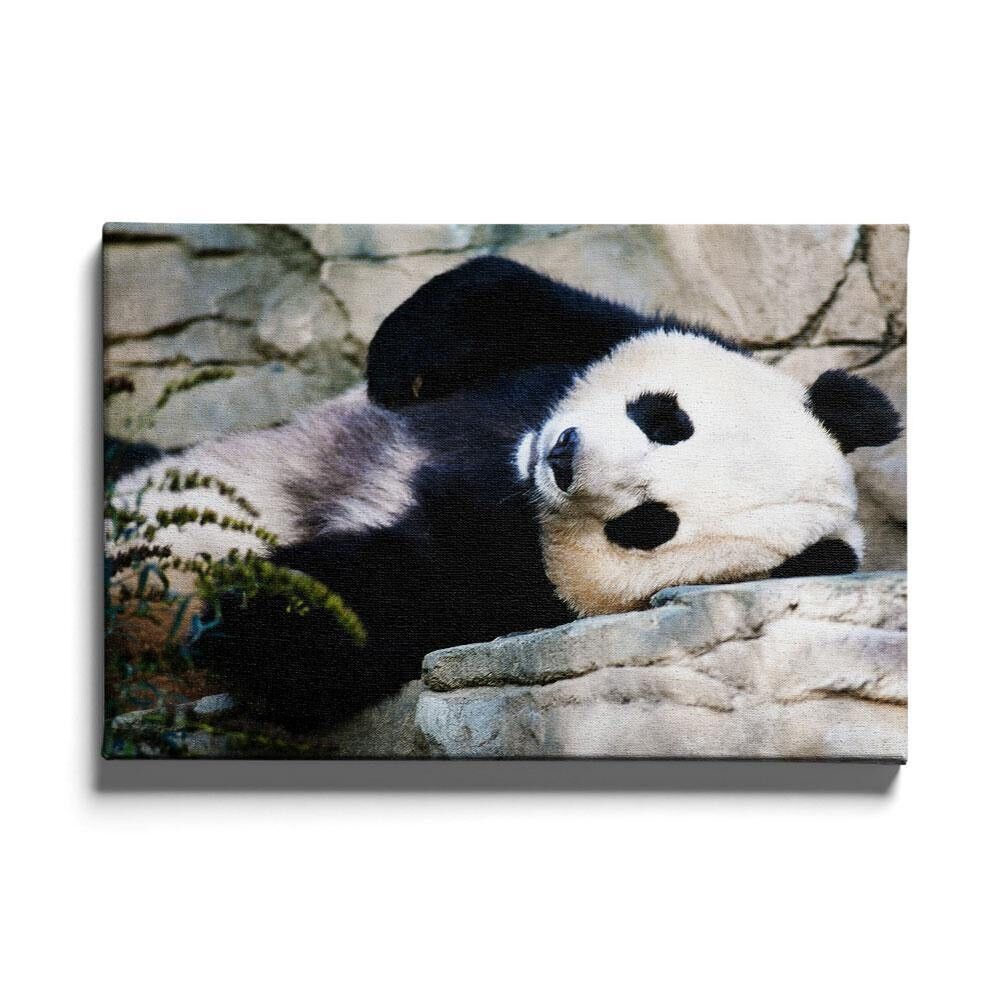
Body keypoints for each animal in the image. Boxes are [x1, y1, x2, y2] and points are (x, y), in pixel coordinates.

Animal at [111, 256, 901, 728]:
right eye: (665, 418)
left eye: (649, 523)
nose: (564, 456)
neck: (504, 472)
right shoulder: (587, 342)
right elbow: (509, 296)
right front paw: (396, 366)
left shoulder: (514, 598)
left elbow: (363, 620)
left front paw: (248, 608)